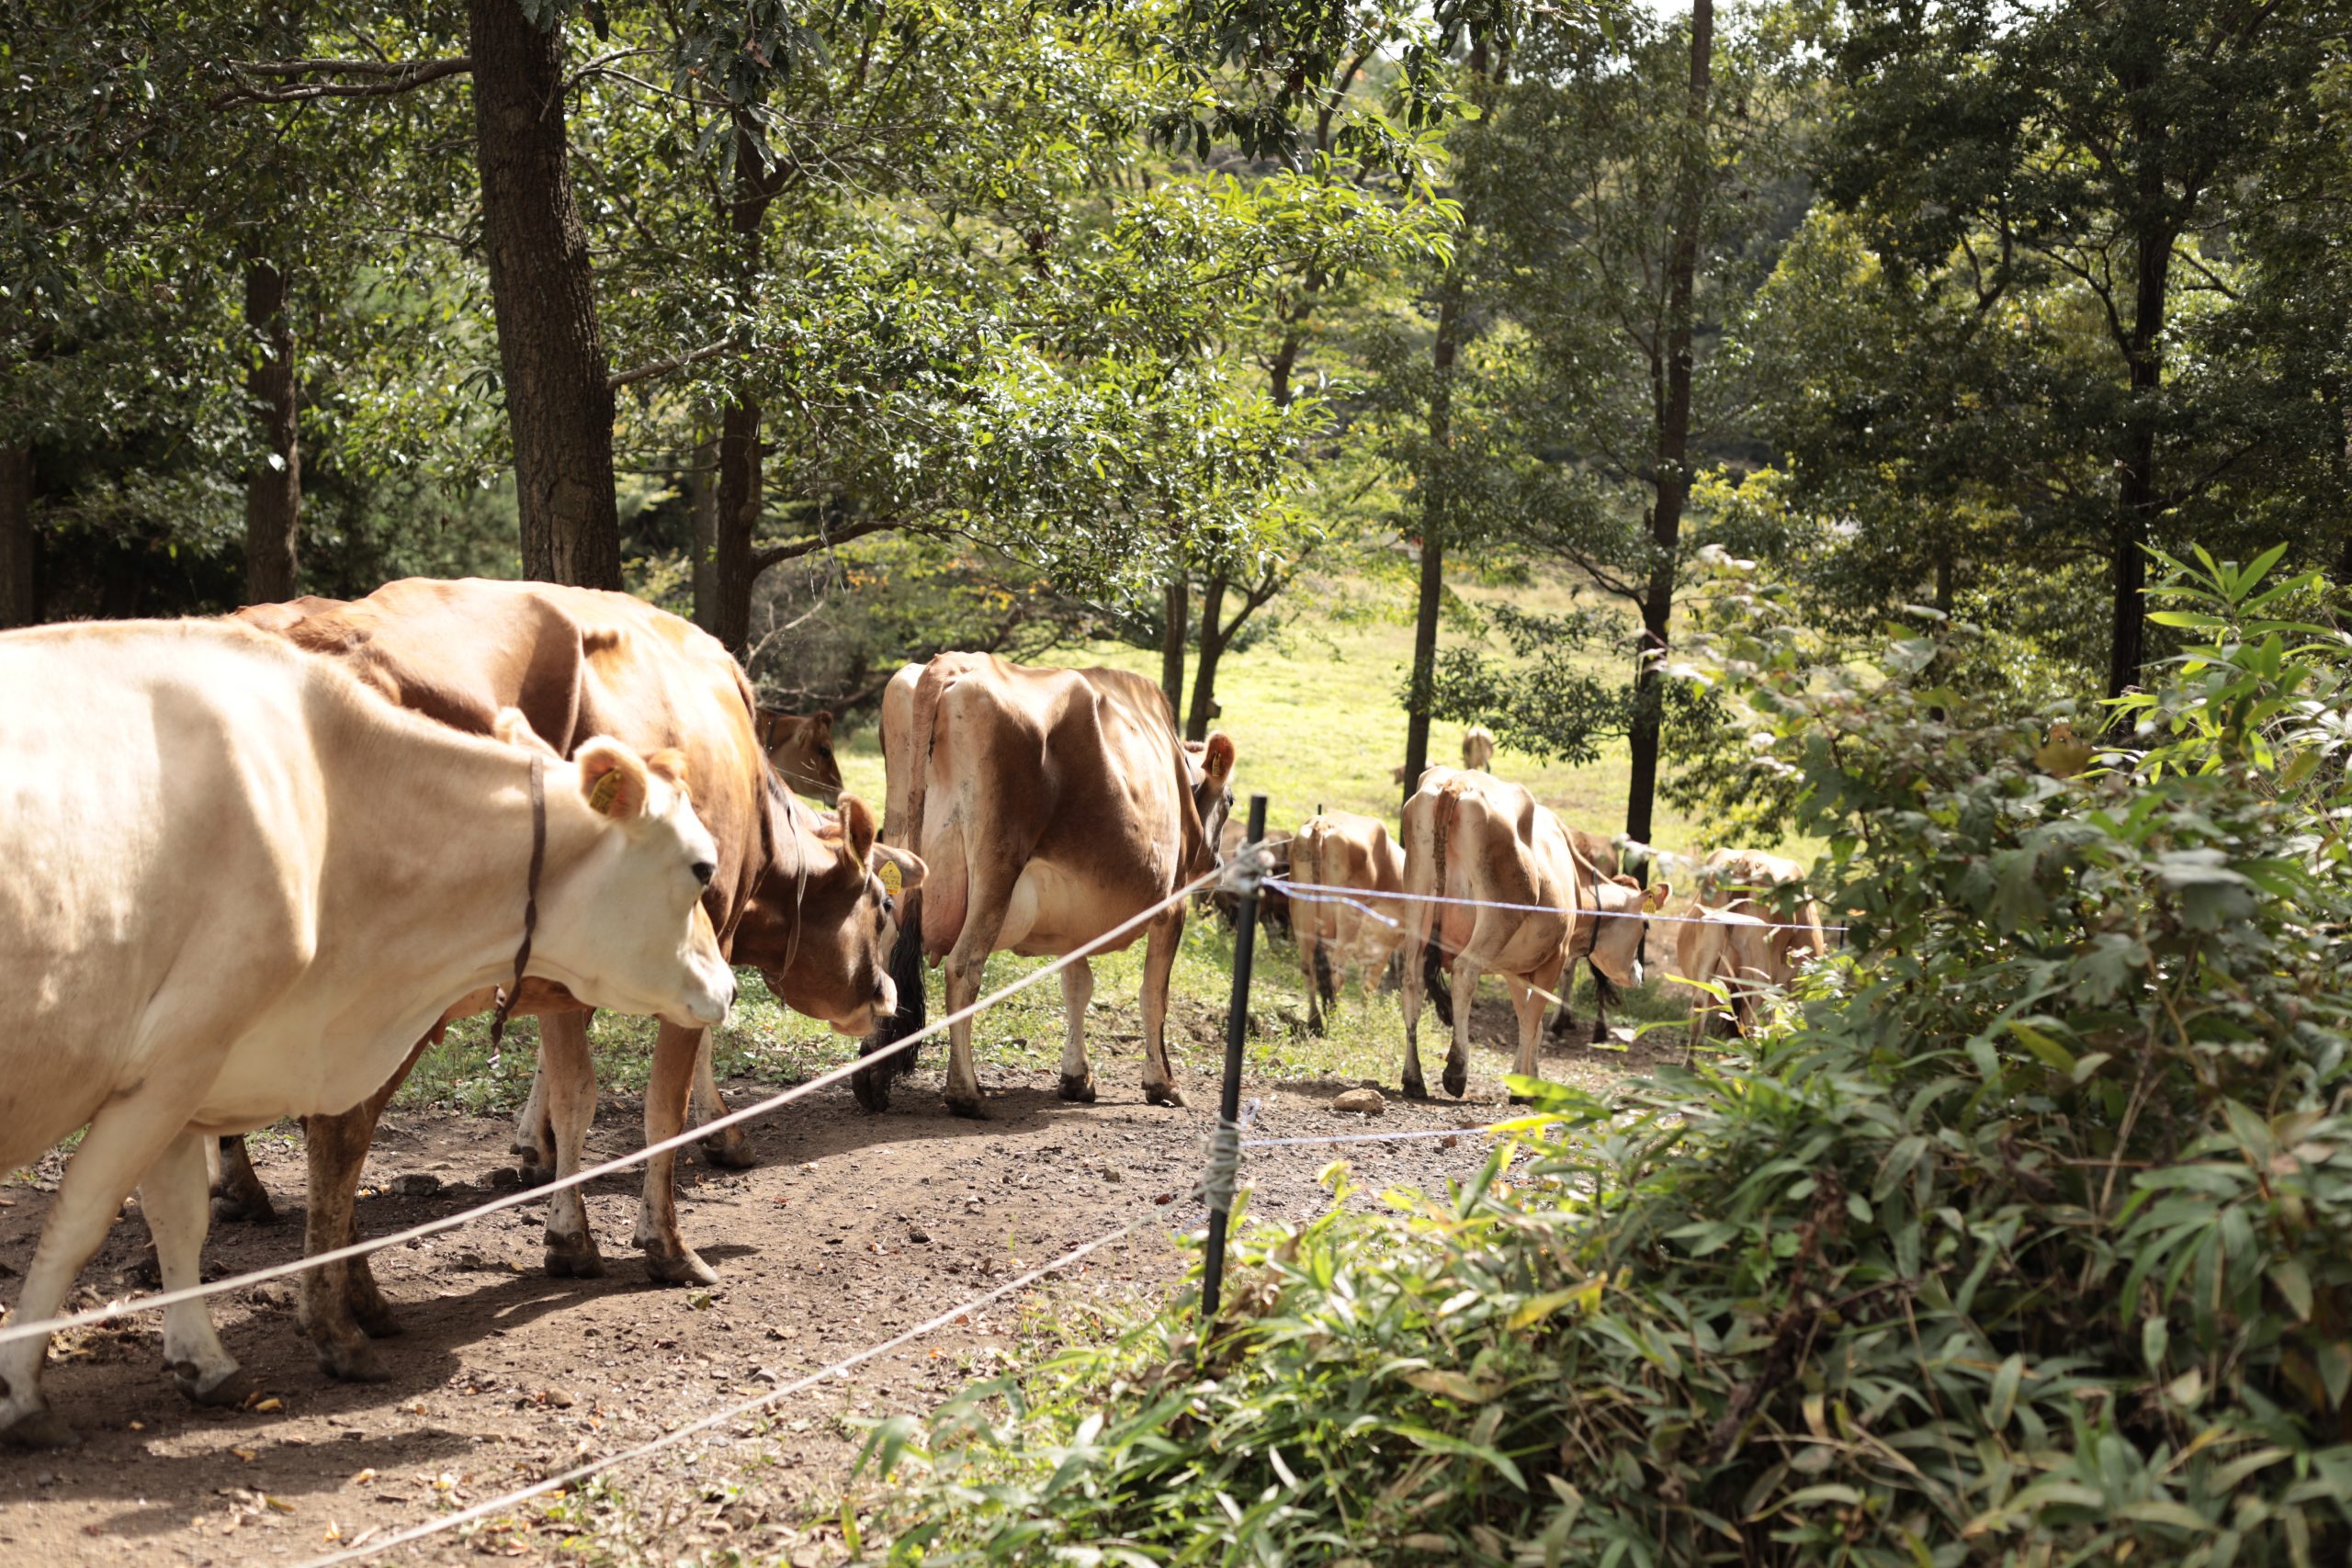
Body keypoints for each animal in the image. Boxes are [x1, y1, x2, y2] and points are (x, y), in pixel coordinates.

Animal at [0, 611, 729, 1448]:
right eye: (702, 867)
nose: (729, 985)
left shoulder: (188, 1069)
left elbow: (180, 1217)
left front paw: (204, 1362)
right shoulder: (176, 1060)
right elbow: (79, 1221)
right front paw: (21, 1390)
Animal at [211, 582, 922, 1382]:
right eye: (883, 905)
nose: (888, 998)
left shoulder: (561, 980)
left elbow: (574, 1096)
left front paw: (569, 1237)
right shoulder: (691, 960)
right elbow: (659, 1111)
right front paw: (667, 1244)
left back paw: (353, 1292)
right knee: (339, 1131)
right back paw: (336, 1324)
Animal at [855, 658, 1241, 1123]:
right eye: (1231, 800)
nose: (1217, 866)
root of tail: (954, 663)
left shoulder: (1071, 920)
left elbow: (1077, 986)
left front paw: (1076, 1078)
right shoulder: (1173, 903)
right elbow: (1154, 995)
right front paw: (1162, 1083)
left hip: (899, 853)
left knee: (885, 960)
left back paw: (871, 1079)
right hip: (997, 865)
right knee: (964, 967)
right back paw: (966, 1093)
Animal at [1279, 818, 1401, 1034]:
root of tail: (1322, 823)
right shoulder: (1382, 946)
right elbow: (1368, 987)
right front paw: (1366, 1024)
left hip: (1300, 911)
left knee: (1308, 968)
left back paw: (1315, 1021)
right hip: (1347, 919)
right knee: (1337, 974)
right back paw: (1334, 1025)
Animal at [1392, 766, 1674, 1100]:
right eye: (1645, 925)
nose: (1639, 973)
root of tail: (1458, 781)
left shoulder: (1514, 968)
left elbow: (1531, 1022)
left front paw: (1530, 1080)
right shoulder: (1554, 959)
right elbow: (1531, 1020)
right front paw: (1522, 1088)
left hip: (1416, 908)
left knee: (1412, 983)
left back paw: (1413, 1078)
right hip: (1497, 920)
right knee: (1464, 972)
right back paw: (1456, 1071)